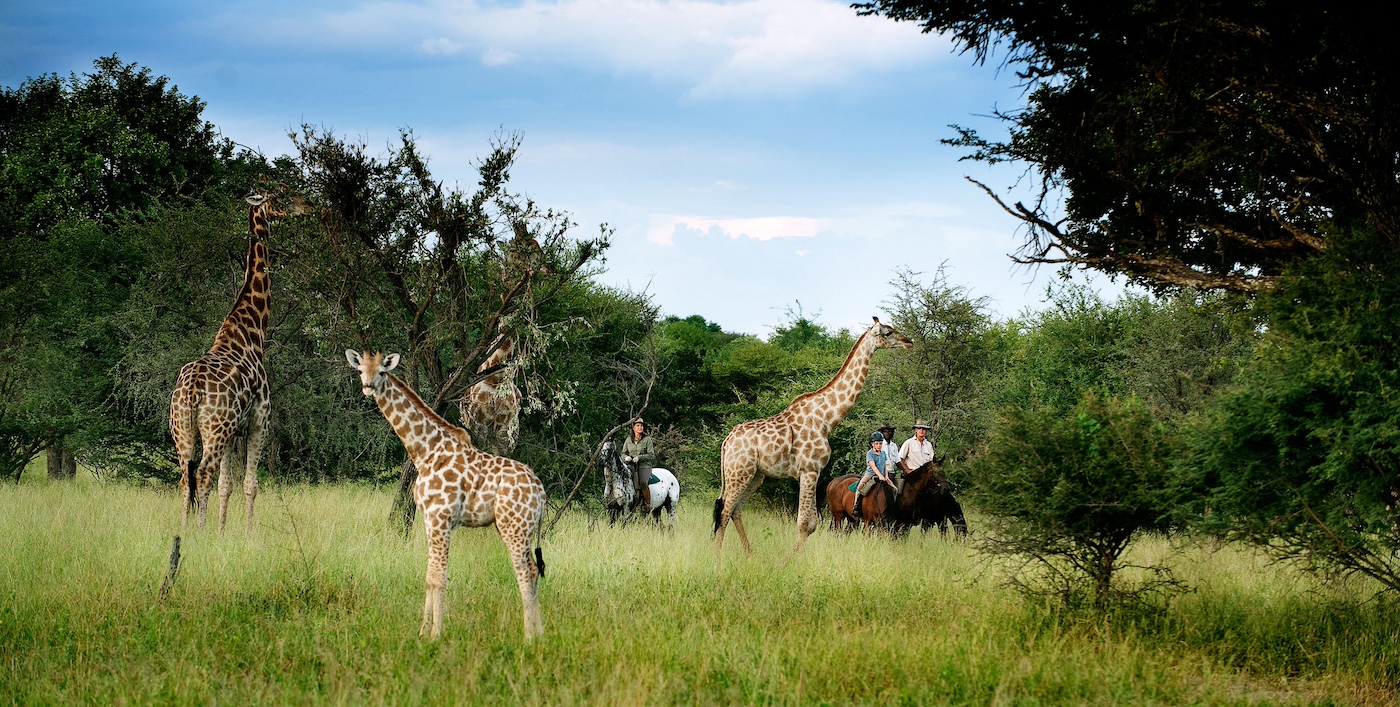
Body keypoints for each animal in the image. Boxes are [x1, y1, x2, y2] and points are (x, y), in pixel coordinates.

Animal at [168, 193, 278, 529]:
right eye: (280, 197)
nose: (305, 207)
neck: (250, 334)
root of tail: (192, 390)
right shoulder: (258, 422)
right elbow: (250, 484)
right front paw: (248, 532)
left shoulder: (233, 432)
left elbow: (226, 485)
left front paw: (222, 531)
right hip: (214, 428)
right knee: (202, 473)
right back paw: (199, 531)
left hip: (183, 427)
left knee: (184, 477)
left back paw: (185, 529)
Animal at [344, 347, 546, 638]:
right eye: (361, 370)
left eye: (382, 371)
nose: (368, 386)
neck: (424, 452)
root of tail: (541, 492)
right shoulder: (429, 519)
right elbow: (430, 576)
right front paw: (422, 632)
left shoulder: (441, 518)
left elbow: (440, 576)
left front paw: (436, 634)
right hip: (516, 527)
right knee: (533, 569)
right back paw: (539, 633)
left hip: (515, 526)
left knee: (525, 570)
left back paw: (529, 637)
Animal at [711, 317, 918, 557]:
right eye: (887, 332)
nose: (909, 341)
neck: (826, 419)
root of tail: (726, 442)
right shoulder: (809, 470)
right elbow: (804, 523)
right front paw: (787, 561)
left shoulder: (814, 472)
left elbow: (811, 524)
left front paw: (797, 559)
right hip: (738, 472)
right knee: (724, 511)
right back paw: (717, 557)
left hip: (755, 475)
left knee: (735, 509)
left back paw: (750, 555)